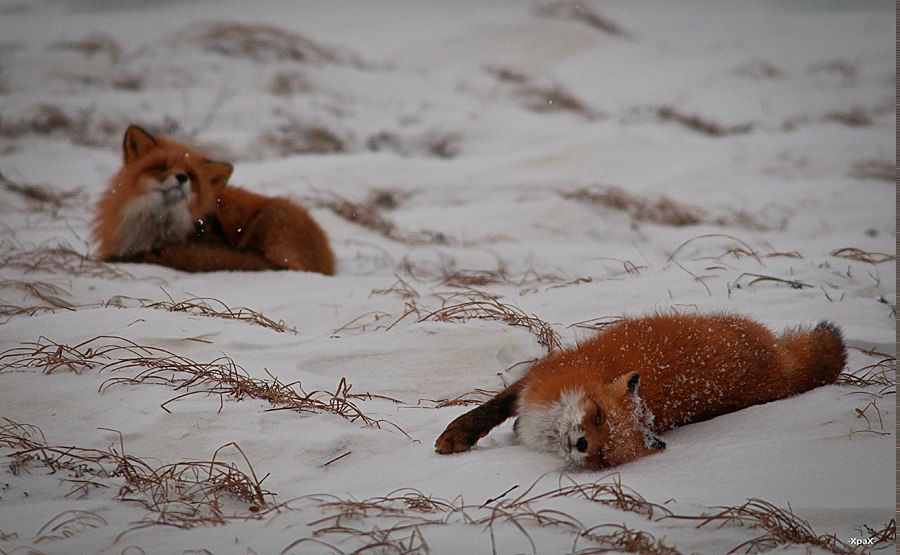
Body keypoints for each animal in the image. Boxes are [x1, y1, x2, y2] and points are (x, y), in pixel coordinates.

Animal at [435, 313, 846, 469]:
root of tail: (778, 366)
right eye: (597, 417)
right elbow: (491, 408)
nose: (581, 444)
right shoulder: (540, 378)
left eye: (603, 454)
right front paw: (457, 435)